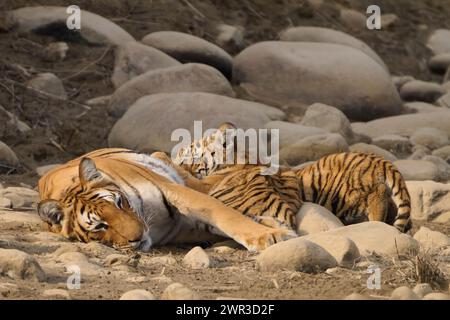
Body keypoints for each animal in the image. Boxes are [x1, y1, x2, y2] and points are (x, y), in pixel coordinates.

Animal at [37, 148, 294, 252]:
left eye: (119, 203)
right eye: (100, 226)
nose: (138, 237)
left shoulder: (174, 189)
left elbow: (224, 213)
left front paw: (270, 235)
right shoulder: (184, 226)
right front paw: (271, 230)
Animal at [172, 122, 412, 232]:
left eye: (188, 152)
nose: (179, 156)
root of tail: (379, 160)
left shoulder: (205, 183)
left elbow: (188, 178)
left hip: (348, 193)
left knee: (377, 198)